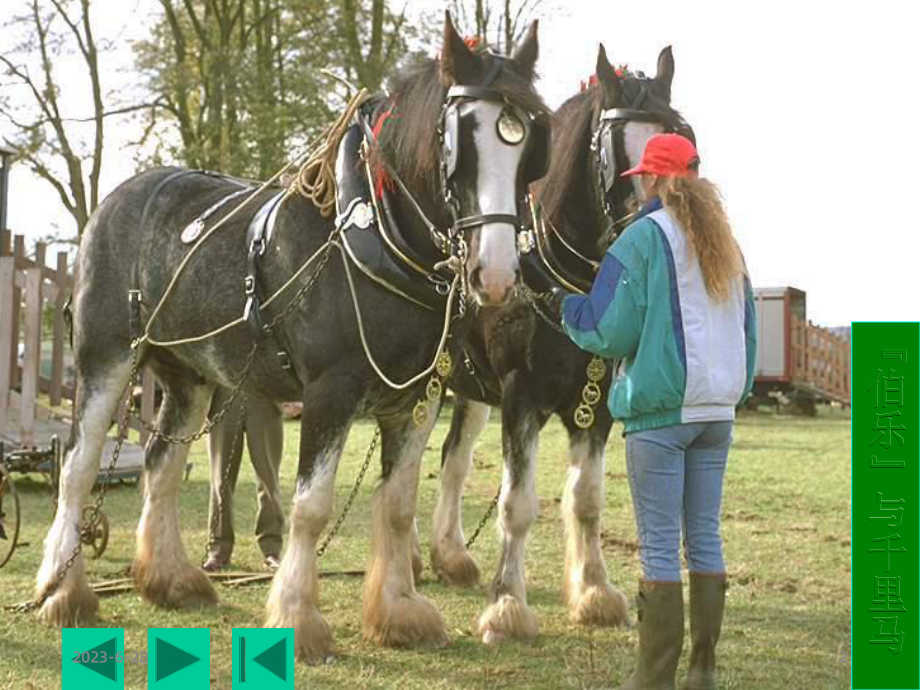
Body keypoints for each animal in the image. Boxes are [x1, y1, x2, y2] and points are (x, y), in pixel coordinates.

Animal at [36, 14, 548, 660]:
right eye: (460, 141)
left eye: (528, 146)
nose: (498, 273)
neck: (380, 238)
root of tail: (115, 200)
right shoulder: (331, 392)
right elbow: (311, 507)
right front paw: (299, 618)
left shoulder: (416, 400)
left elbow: (398, 506)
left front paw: (399, 612)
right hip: (105, 359)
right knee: (78, 469)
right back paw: (63, 590)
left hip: (189, 378)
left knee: (161, 465)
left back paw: (170, 579)